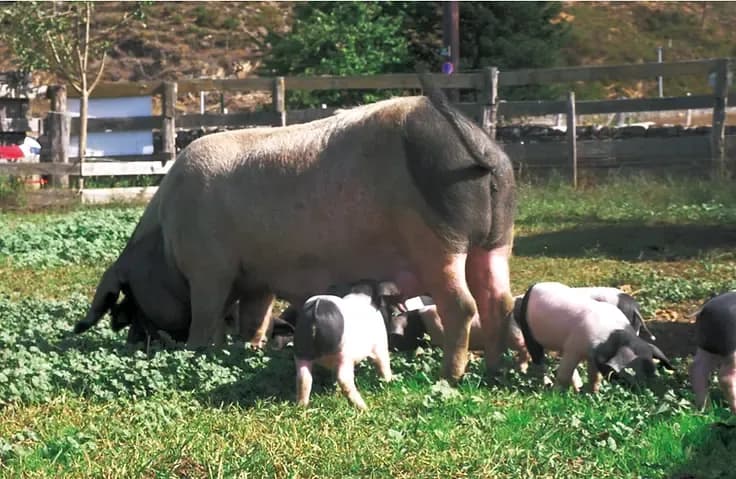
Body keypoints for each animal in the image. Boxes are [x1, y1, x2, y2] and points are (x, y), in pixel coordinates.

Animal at [77, 72, 517, 382]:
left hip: (437, 242)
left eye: (130, 295)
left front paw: (198, 351)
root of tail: (473, 141)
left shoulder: (208, 270)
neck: (165, 241)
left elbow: (205, 317)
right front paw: (248, 351)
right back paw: (494, 372)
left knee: (461, 305)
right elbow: (254, 321)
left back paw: (449, 378)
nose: (136, 340)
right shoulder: (258, 279)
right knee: (498, 300)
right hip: (497, 241)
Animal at [294, 281, 396, 410]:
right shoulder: (379, 343)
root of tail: (316, 311)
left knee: (303, 377)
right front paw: (390, 381)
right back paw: (364, 408)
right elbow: (383, 363)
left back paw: (302, 406)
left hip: (301, 349)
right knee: (344, 379)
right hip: (343, 355)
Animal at [514, 282, 672, 392]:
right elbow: (564, 374)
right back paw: (548, 384)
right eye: (630, 372)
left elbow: (594, 377)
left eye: (652, 373)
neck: (610, 339)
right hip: (529, 333)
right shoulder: (573, 348)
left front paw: (592, 393)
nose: (644, 392)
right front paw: (557, 393)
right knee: (539, 360)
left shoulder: (592, 356)